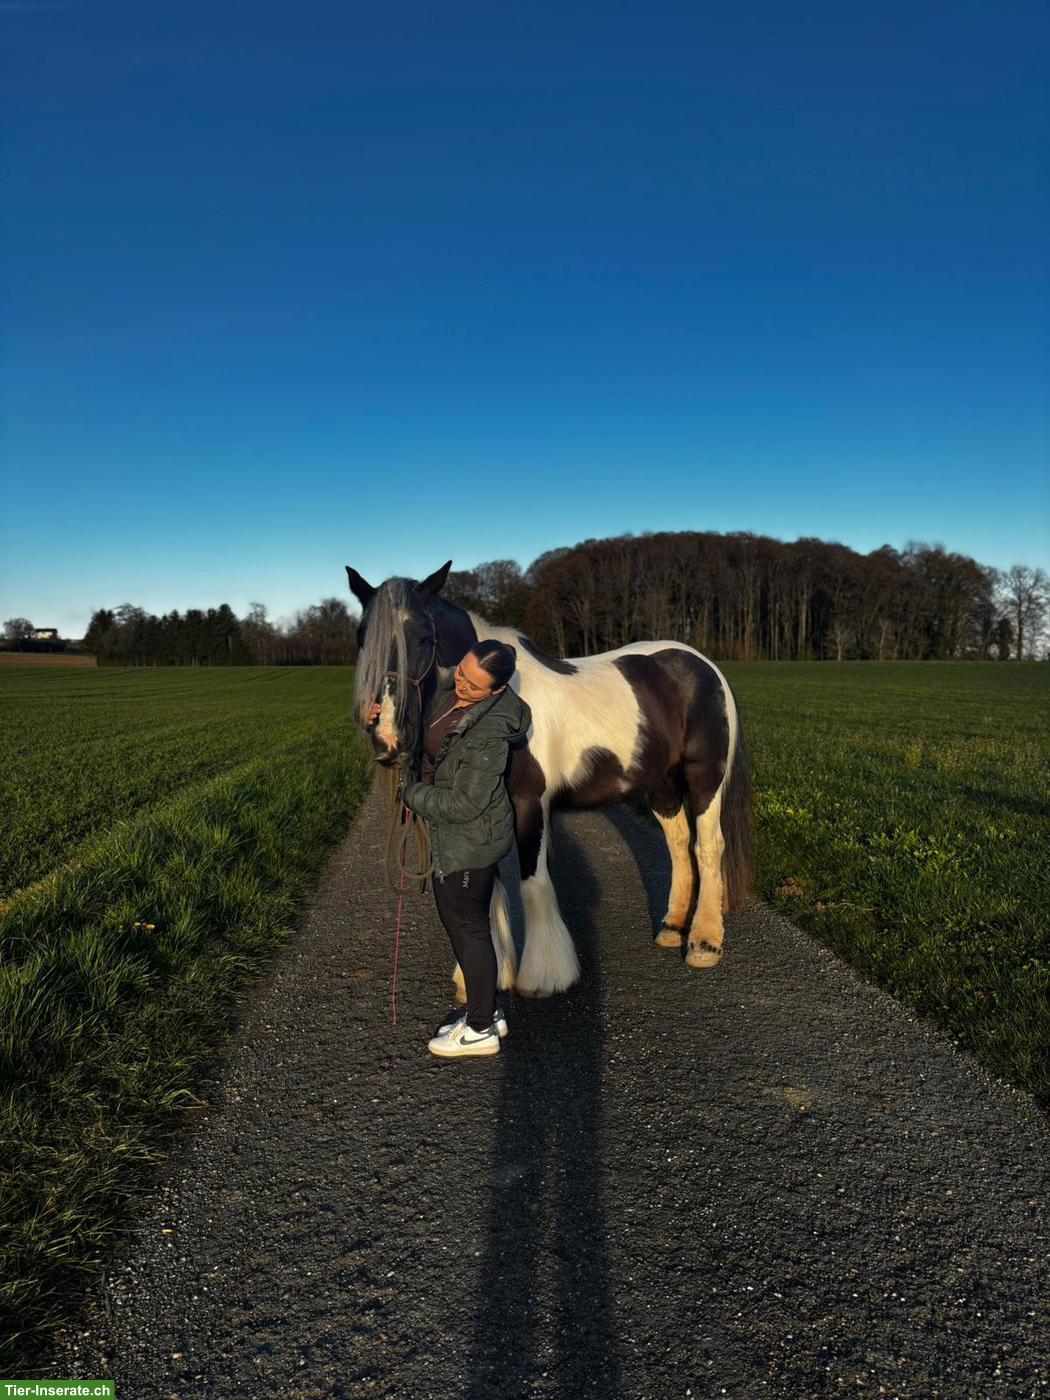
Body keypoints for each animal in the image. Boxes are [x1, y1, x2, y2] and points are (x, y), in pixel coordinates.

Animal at [347, 559, 753, 1002]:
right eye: (362, 638)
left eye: (422, 636)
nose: (388, 738)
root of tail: (704, 665)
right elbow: (491, 892)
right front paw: (485, 977)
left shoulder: (529, 804)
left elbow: (533, 884)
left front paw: (543, 976)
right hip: (659, 783)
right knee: (679, 843)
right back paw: (672, 927)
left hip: (704, 776)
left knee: (707, 846)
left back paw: (703, 943)